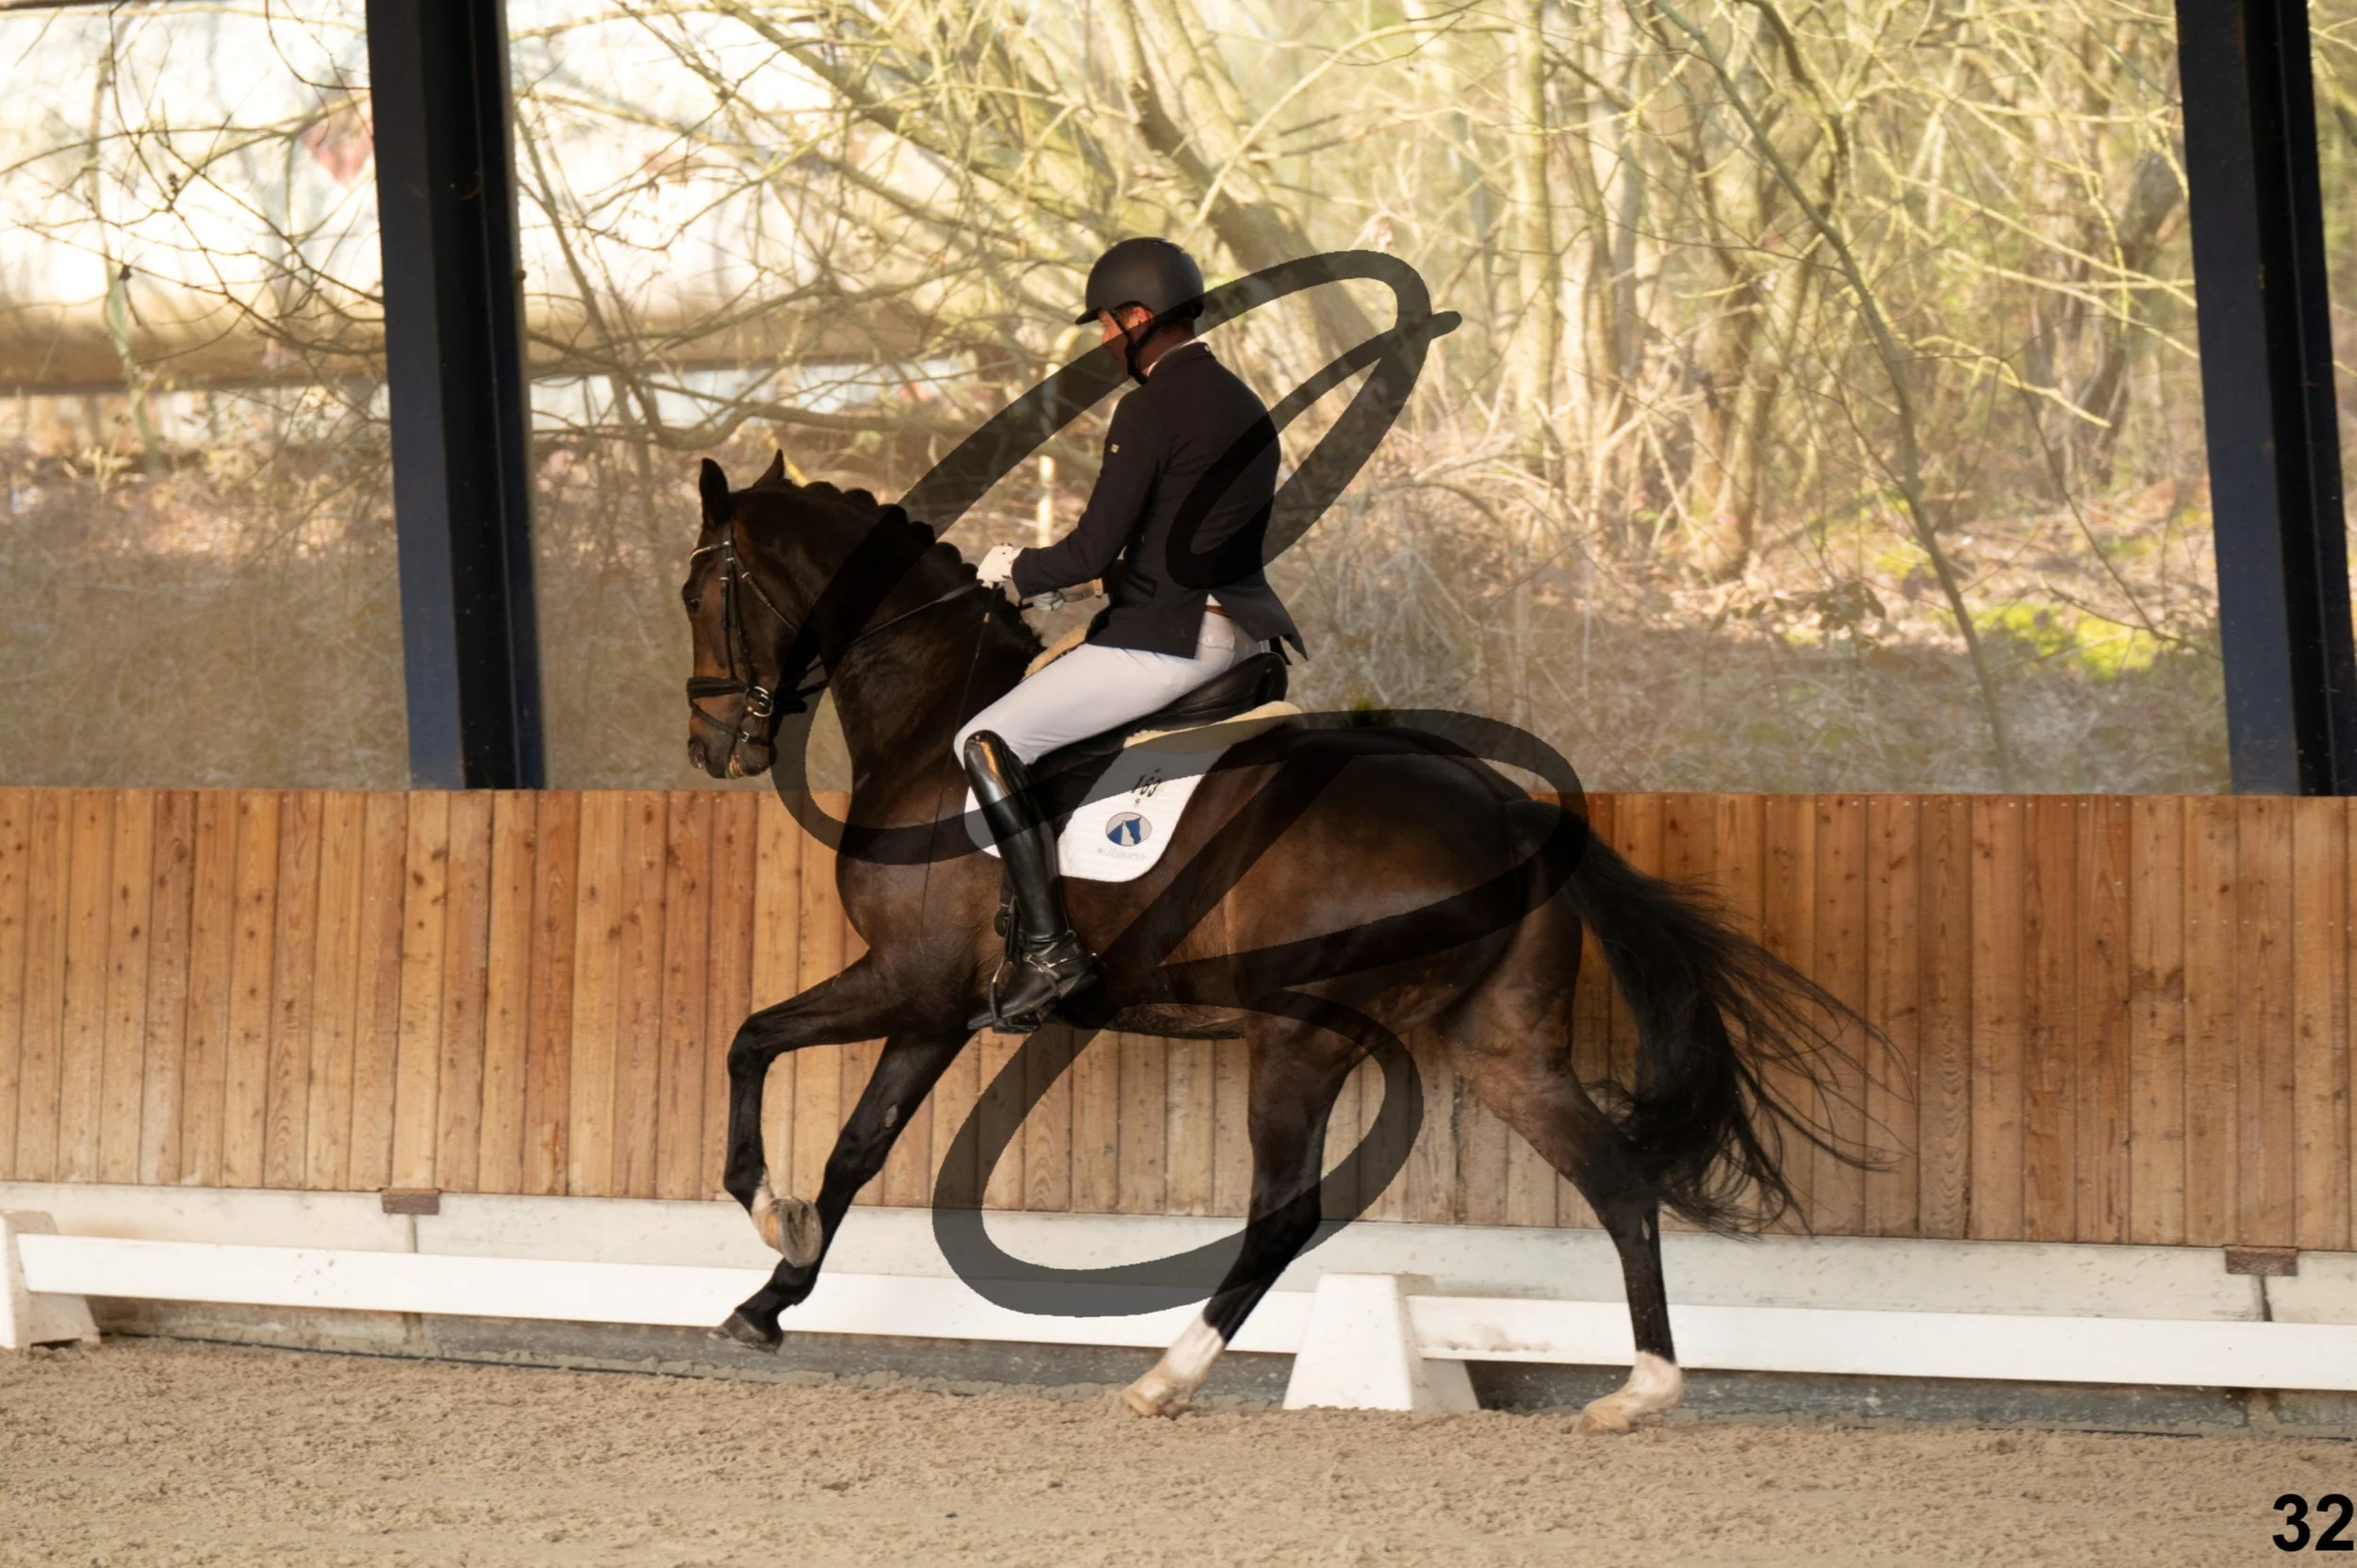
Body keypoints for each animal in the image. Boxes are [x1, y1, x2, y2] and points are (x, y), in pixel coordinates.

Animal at [682, 453, 1859, 1431]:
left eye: (698, 593)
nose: (710, 747)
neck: (936, 718)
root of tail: (1511, 812)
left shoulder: (907, 982)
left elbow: (750, 1039)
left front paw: (765, 1211)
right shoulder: (936, 1010)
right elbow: (857, 1145)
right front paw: (773, 1296)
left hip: (1300, 1035)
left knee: (1284, 1212)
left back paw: (1165, 1377)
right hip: (1503, 1046)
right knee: (1615, 1180)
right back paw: (1640, 1391)